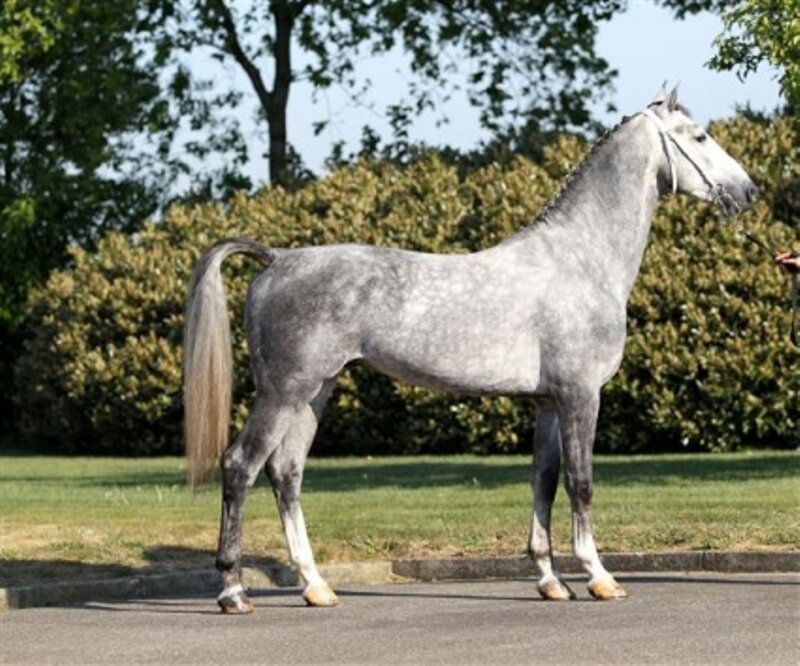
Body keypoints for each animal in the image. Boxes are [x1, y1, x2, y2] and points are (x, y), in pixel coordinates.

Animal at [183, 85, 757, 613]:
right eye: (699, 137)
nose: (748, 191)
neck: (580, 259)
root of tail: (277, 258)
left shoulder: (547, 401)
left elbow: (544, 481)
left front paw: (551, 581)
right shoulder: (579, 394)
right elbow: (581, 482)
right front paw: (599, 577)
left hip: (314, 393)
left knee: (286, 474)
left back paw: (315, 586)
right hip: (284, 391)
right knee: (241, 466)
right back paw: (233, 591)